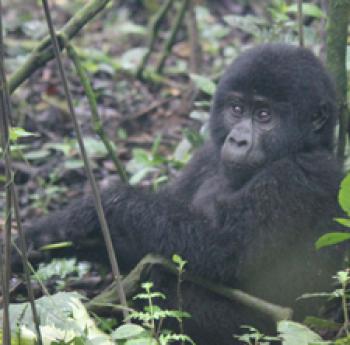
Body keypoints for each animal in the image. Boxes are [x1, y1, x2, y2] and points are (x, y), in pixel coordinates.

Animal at [13, 43, 342, 344]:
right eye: (236, 109)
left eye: (264, 115)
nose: (237, 140)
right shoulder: (207, 155)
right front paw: (45, 236)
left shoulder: (302, 176)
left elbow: (227, 252)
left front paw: (105, 205)